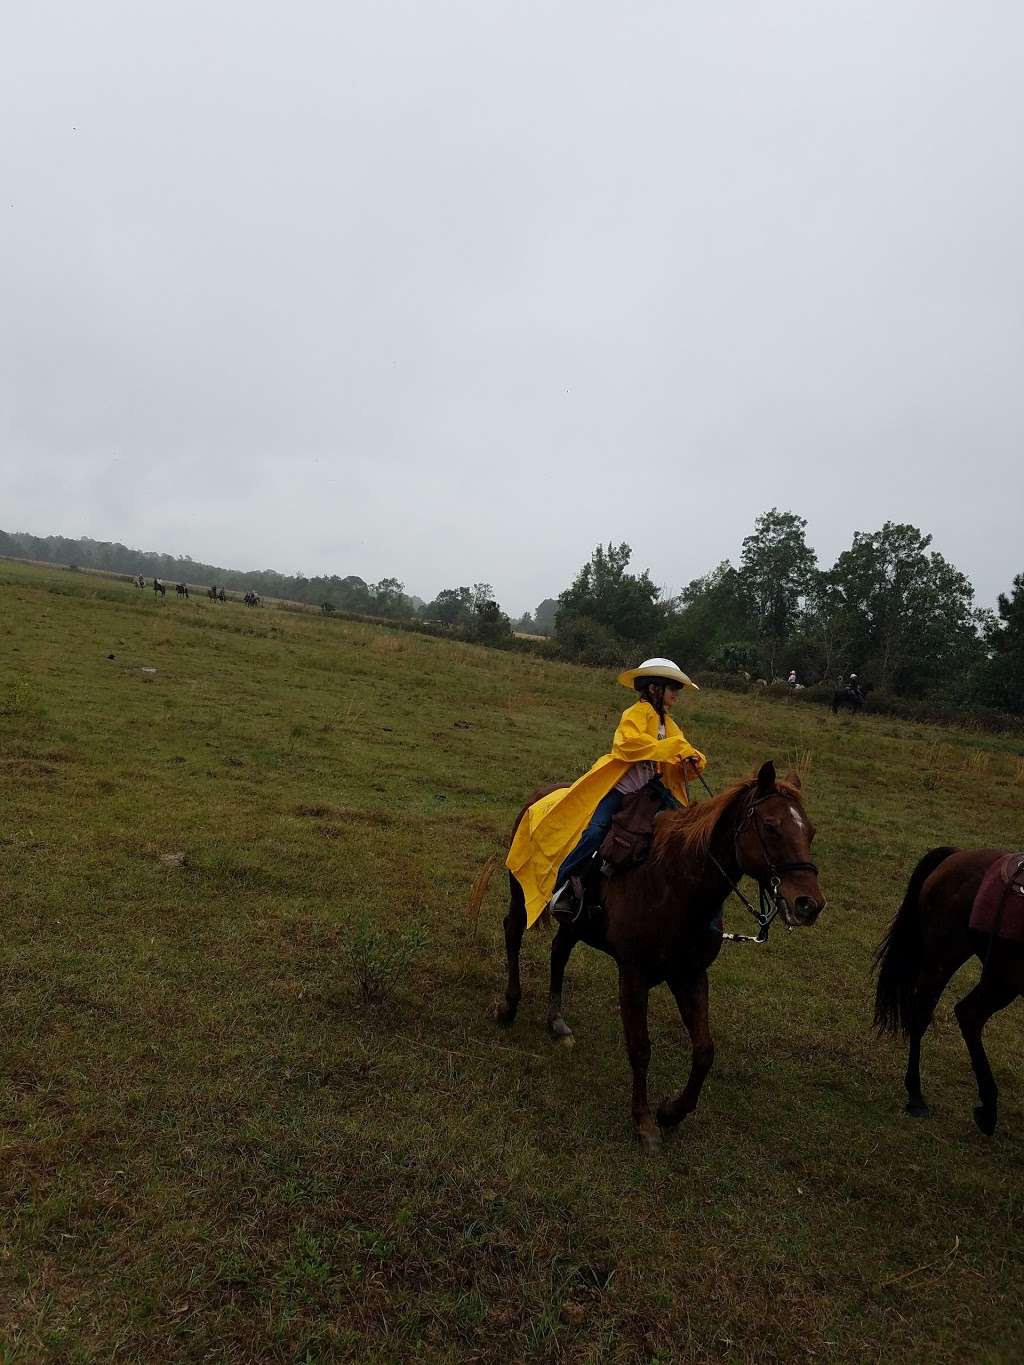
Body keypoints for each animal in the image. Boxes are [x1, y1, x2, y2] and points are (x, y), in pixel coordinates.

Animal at [480, 764, 824, 1146]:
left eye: (809, 832)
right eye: (770, 827)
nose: (809, 904)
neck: (676, 885)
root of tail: (540, 795)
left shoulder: (690, 974)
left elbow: (704, 1051)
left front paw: (671, 1112)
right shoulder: (634, 974)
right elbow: (641, 1048)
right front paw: (644, 1121)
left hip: (576, 924)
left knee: (559, 952)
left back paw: (556, 1022)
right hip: (521, 892)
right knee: (513, 932)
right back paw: (509, 1006)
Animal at [873, 846, 1024, 1135]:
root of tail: (958, 854)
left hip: (999, 975)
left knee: (967, 1014)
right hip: (957, 961)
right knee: (933, 1014)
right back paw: (918, 1097)